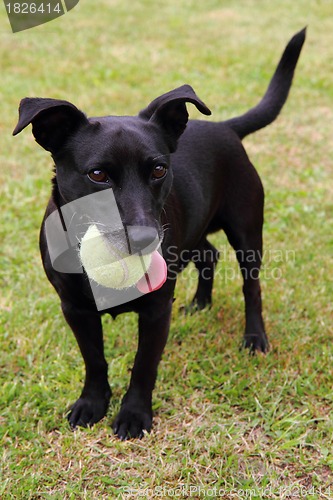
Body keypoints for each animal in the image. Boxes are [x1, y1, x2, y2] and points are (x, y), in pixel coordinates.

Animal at [13, 29, 304, 440]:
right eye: (97, 175)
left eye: (159, 169)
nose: (144, 239)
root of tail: (226, 126)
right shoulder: (74, 308)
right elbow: (94, 359)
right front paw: (92, 403)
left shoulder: (155, 310)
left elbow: (143, 365)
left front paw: (134, 414)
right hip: (192, 232)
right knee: (209, 255)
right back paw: (200, 303)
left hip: (246, 232)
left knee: (252, 286)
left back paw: (254, 338)